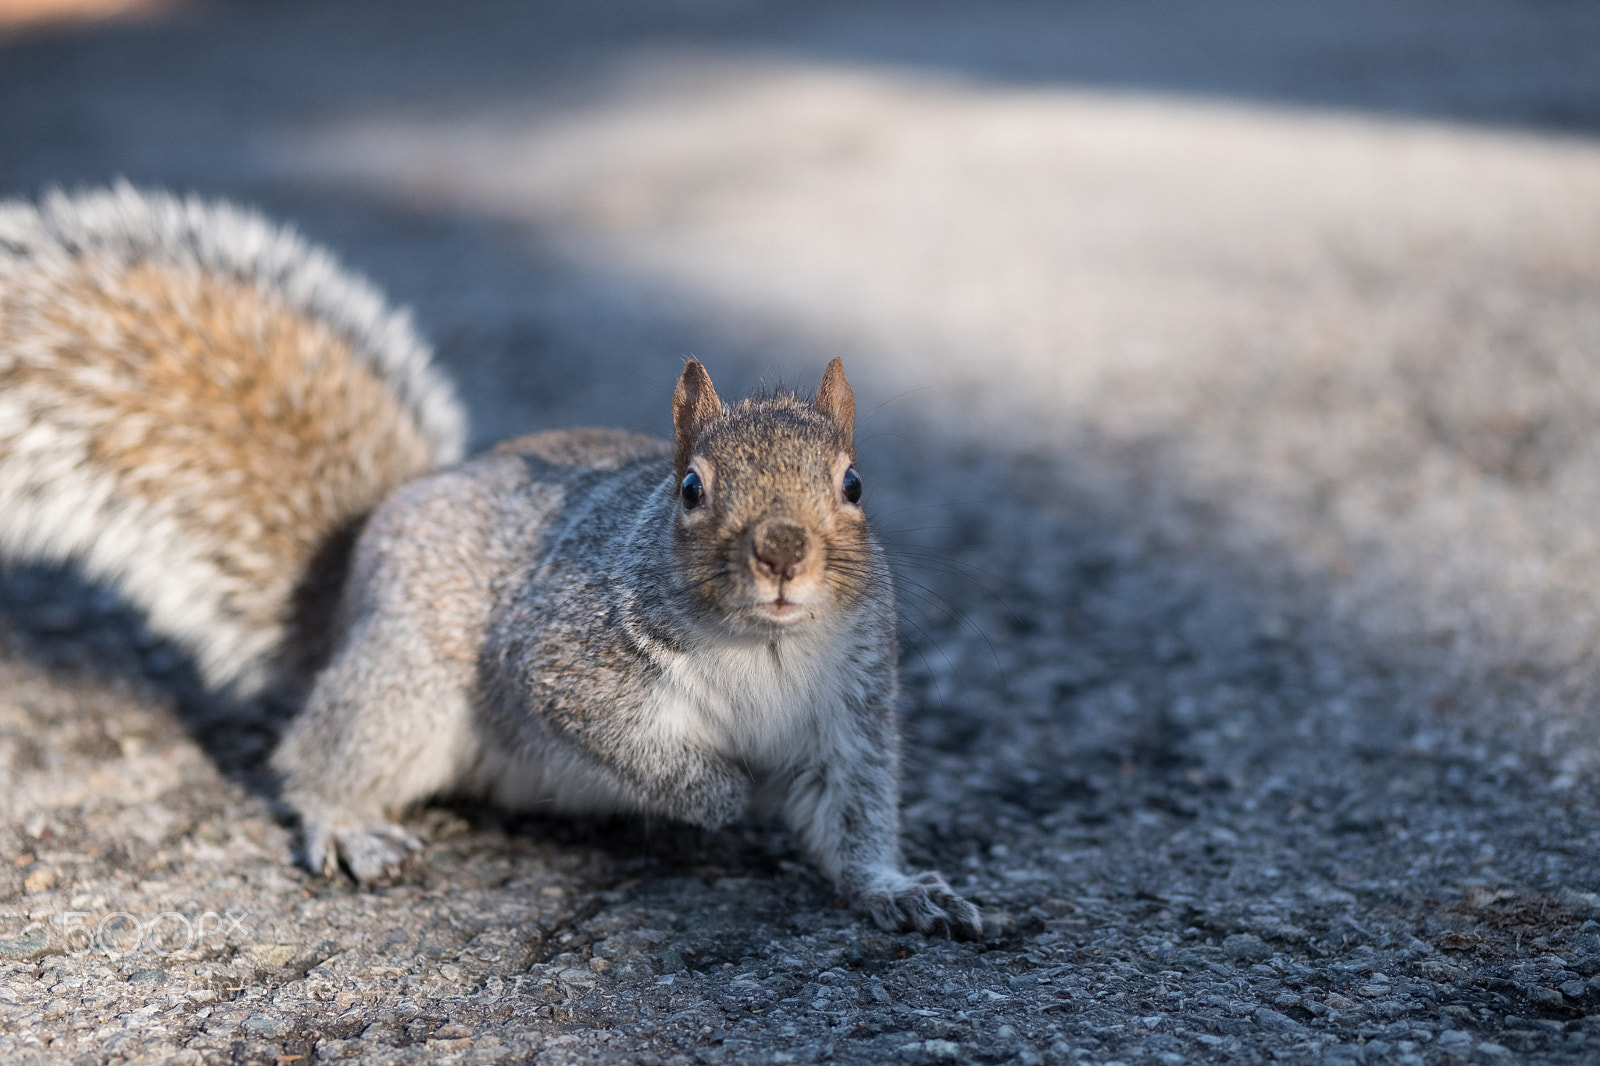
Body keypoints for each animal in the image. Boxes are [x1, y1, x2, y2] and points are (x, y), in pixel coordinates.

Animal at [0, 184, 981, 939]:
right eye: (691, 489)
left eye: (854, 483)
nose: (782, 552)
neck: (764, 647)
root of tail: (353, 568)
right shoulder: (566, 663)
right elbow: (634, 745)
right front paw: (718, 798)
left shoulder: (851, 712)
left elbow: (853, 819)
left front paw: (904, 892)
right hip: (404, 688)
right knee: (319, 756)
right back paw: (352, 825)